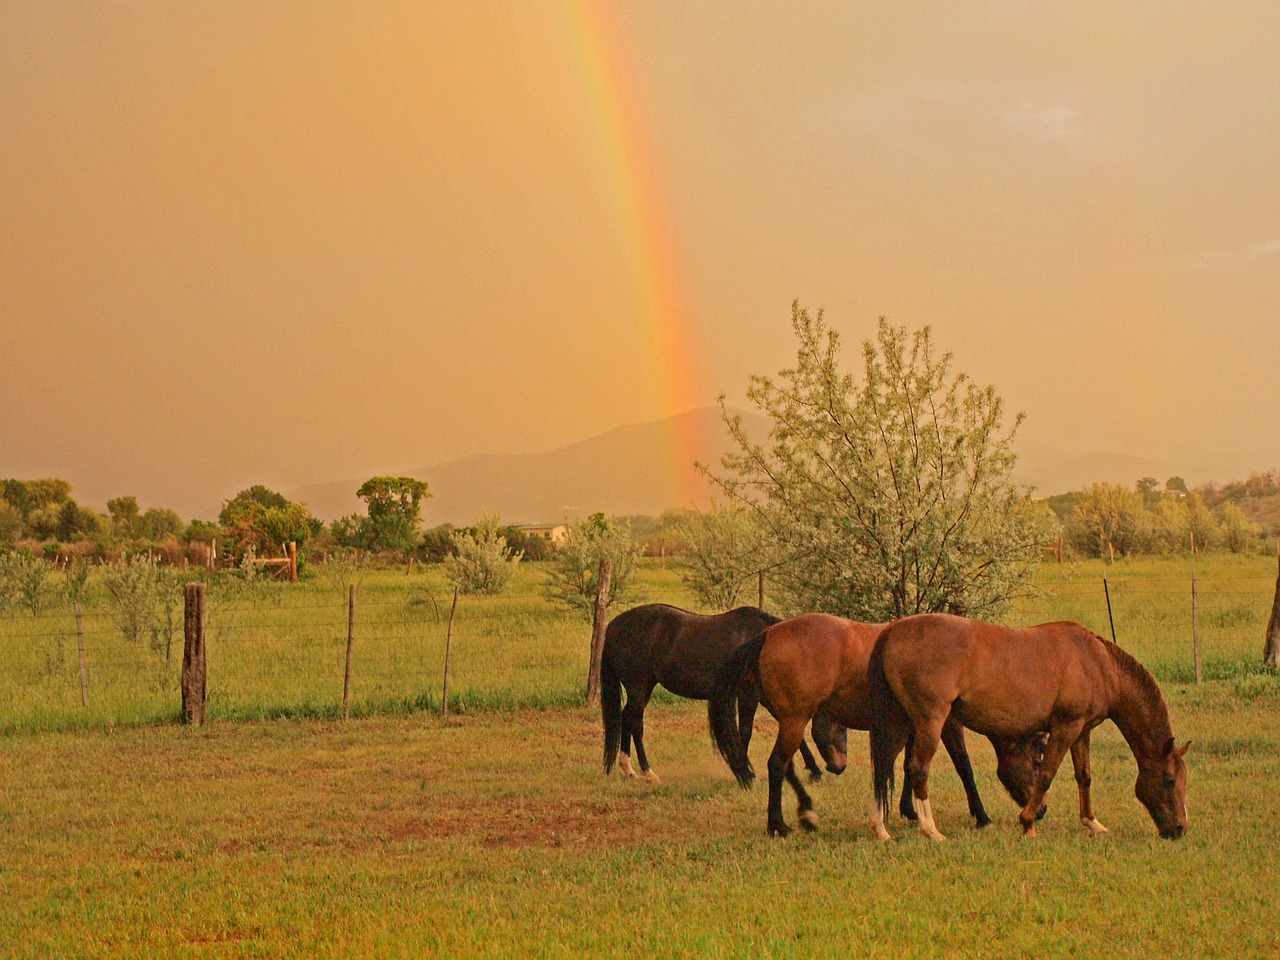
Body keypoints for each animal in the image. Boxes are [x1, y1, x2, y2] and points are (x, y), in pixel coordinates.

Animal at [601, 604, 844, 783]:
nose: (839, 767)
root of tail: (614, 626)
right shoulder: (748, 696)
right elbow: (744, 732)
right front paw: (745, 773)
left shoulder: (766, 698)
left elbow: (795, 734)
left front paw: (815, 771)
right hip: (638, 686)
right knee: (635, 723)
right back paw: (648, 772)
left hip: (643, 688)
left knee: (626, 718)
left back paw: (629, 769)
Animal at [706, 619, 1044, 839]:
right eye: (1037, 758)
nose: (1040, 811)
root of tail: (766, 635)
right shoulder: (945, 722)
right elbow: (962, 767)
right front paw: (982, 817)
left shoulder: (912, 725)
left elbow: (905, 767)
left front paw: (907, 810)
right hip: (794, 719)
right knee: (777, 765)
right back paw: (778, 825)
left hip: (791, 720)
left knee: (785, 766)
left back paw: (806, 813)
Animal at [870, 616, 1187, 839]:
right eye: (1169, 780)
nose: (1180, 829)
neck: (1098, 663)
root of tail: (891, 632)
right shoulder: (1066, 726)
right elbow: (1047, 774)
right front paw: (1027, 823)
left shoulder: (1082, 730)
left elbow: (1083, 776)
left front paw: (1092, 822)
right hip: (929, 720)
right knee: (918, 769)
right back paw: (931, 830)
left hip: (901, 722)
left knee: (884, 768)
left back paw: (881, 827)